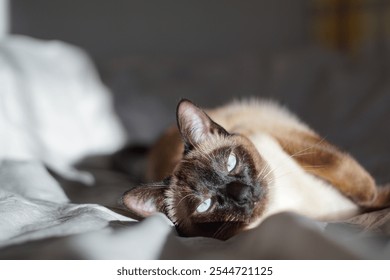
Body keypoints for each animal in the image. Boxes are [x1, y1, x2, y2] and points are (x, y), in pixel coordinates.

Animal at [122, 98, 390, 238]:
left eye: (230, 163)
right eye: (205, 205)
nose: (243, 194)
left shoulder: (284, 136)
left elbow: (356, 180)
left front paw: (374, 196)